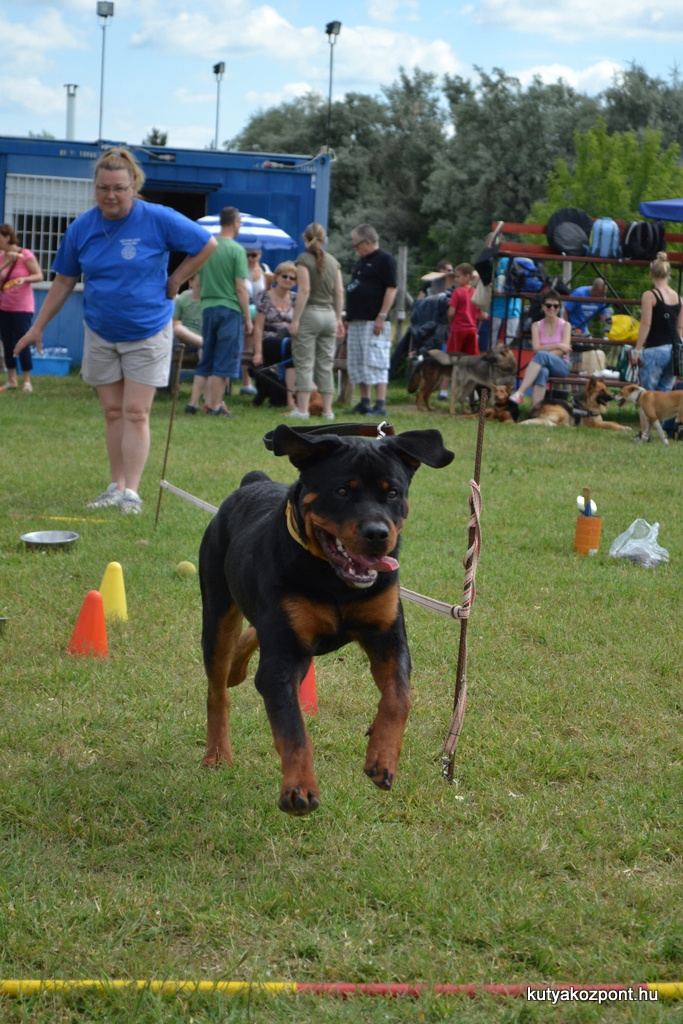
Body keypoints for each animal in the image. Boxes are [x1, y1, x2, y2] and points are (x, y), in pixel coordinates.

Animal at [197, 423, 454, 815]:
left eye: (393, 492)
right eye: (342, 490)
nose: (378, 534)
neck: (334, 580)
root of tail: (253, 482)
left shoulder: (387, 636)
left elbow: (399, 697)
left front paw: (382, 758)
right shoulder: (284, 657)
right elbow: (292, 729)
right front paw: (299, 787)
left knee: (252, 635)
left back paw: (238, 669)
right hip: (217, 611)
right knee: (217, 690)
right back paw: (216, 752)